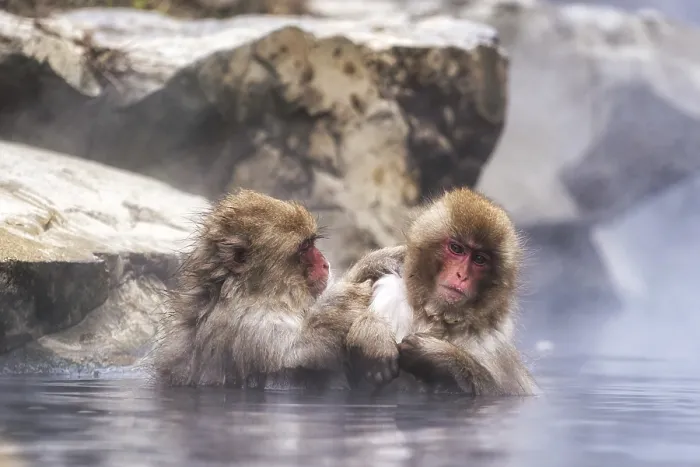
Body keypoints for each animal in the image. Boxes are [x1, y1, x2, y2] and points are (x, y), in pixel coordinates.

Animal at [152, 189, 375, 389]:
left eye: (311, 243)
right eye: (304, 248)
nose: (324, 264)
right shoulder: (248, 326)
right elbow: (288, 366)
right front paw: (347, 299)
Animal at [340, 187, 539, 396]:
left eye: (479, 259)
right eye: (456, 249)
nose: (461, 276)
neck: (435, 315)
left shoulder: (495, 344)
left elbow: (500, 392)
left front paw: (437, 355)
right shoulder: (391, 293)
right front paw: (372, 334)